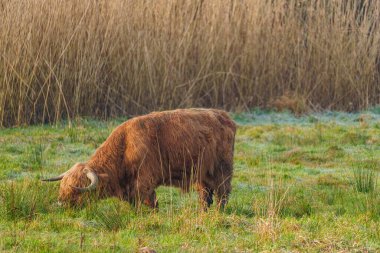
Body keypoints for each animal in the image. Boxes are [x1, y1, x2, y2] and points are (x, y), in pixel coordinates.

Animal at [43, 108, 236, 210]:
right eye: (62, 188)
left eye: (76, 190)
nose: (61, 203)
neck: (124, 147)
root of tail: (223, 116)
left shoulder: (145, 180)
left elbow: (150, 201)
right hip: (203, 172)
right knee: (205, 192)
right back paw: (203, 210)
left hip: (222, 169)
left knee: (222, 191)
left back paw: (219, 211)